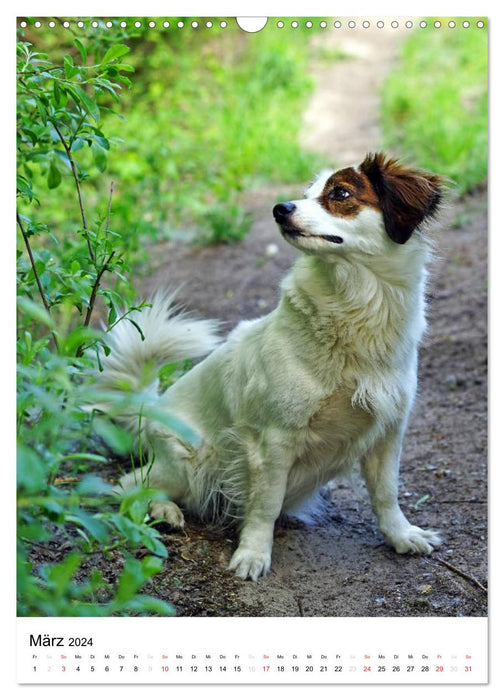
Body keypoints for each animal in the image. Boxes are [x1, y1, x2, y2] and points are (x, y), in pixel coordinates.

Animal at [96, 152, 442, 580]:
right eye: (306, 193)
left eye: (340, 194)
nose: (280, 209)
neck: (356, 305)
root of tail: (151, 407)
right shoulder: (274, 440)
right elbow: (265, 505)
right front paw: (253, 554)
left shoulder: (389, 430)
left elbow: (386, 493)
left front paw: (401, 535)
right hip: (190, 463)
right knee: (129, 484)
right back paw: (162, 510)